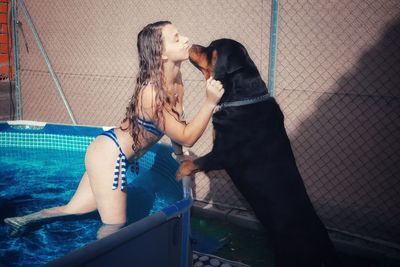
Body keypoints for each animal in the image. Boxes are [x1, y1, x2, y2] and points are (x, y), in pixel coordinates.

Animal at [177, 39, 340, 267]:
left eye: (212, 49)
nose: (191, 44)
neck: (242, 98)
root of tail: (326, 251)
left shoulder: (222, 155)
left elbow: (195, 162)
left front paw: (179, 172)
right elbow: (193, 160)